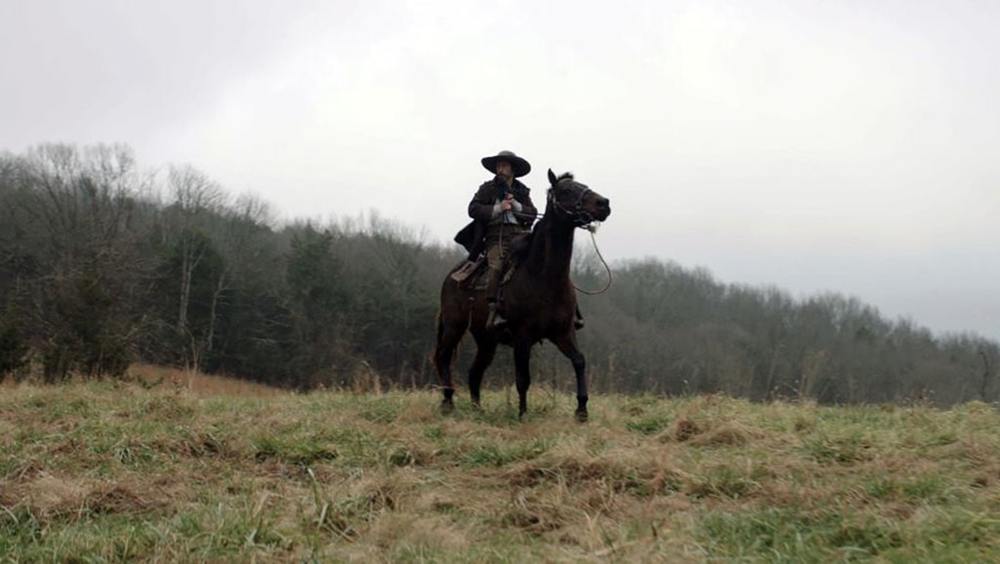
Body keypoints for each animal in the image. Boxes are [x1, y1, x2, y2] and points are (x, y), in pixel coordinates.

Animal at [436, 170, 608, 420]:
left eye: (583, 185)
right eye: (566, 190)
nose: (604, 204)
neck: (544, 277)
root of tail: (451, 275)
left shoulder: (563, 332)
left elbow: (579, 361)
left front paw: (582, 410)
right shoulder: (522, 337)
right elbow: (522, 378)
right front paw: (523, 414)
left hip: (486, 339)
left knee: (474, 372)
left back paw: (478, 409)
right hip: (453, 326)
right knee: (443, 356)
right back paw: (448, 401)